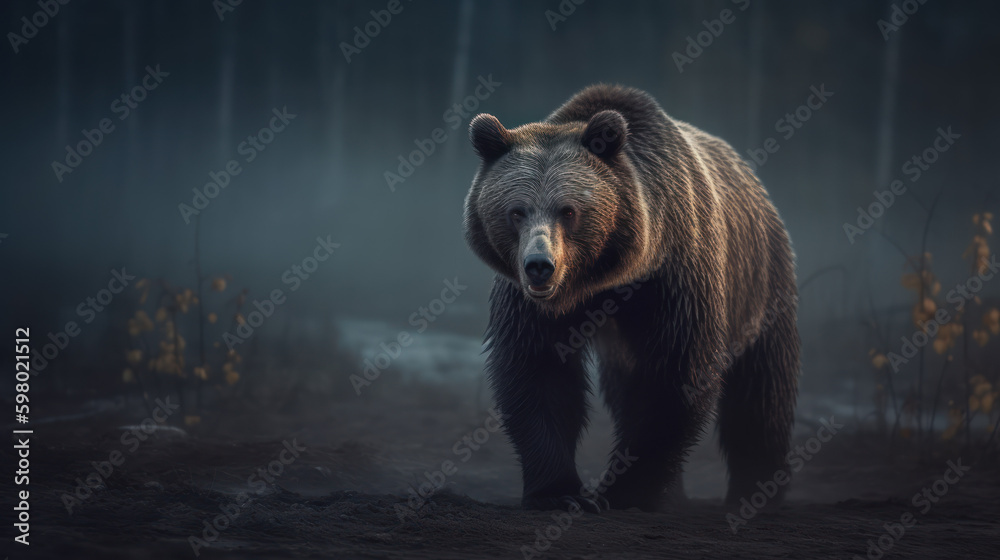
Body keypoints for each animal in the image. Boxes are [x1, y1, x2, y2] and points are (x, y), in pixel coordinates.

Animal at [462, 84, 800, 512]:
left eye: (568, 210)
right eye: (516, 211)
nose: (540, 266)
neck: (605, 279)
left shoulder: (674, 279)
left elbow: (674, 377)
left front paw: (625, 492)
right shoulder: (529, 303)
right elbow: (538, 371)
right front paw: (559, 492)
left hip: (761, 281)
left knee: (762, 390)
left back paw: (756, 489)